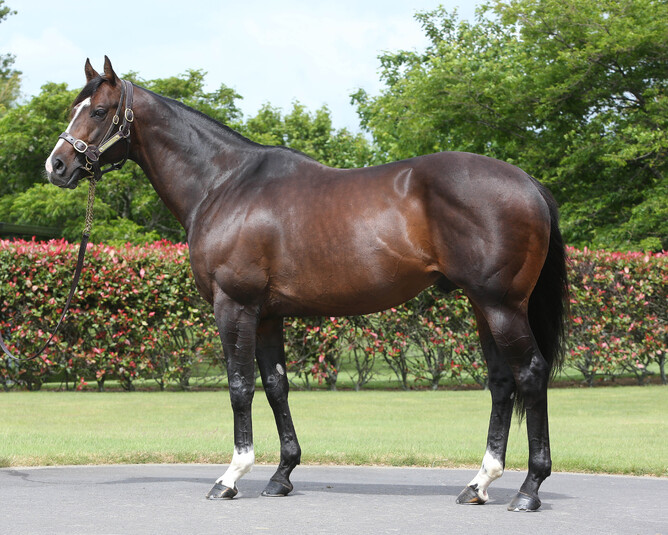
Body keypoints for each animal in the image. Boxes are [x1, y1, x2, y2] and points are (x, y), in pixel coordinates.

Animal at [45, 57, 568, 512]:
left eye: (98, 110)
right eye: (73, 108)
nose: (56, 166)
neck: (223, 184)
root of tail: (529, 183)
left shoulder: (233, 306)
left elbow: (240, 386)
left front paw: (231, 477)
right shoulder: (267, 315)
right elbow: (277, 385)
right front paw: (281, 476)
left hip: (501, 305)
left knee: (530, 374)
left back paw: (529, 489)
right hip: (484, 307)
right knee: (502, 383)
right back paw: (479, 484)